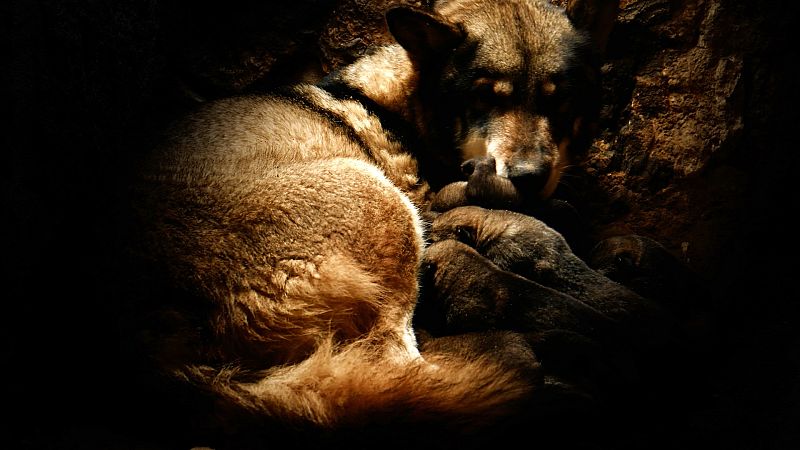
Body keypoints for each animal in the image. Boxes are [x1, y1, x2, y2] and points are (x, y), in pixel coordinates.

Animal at [119, 0, 619, 446]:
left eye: (561, 99)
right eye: (483, 97)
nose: (528, 177)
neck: (402, 108)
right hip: (384, 208)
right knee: (400, 376)